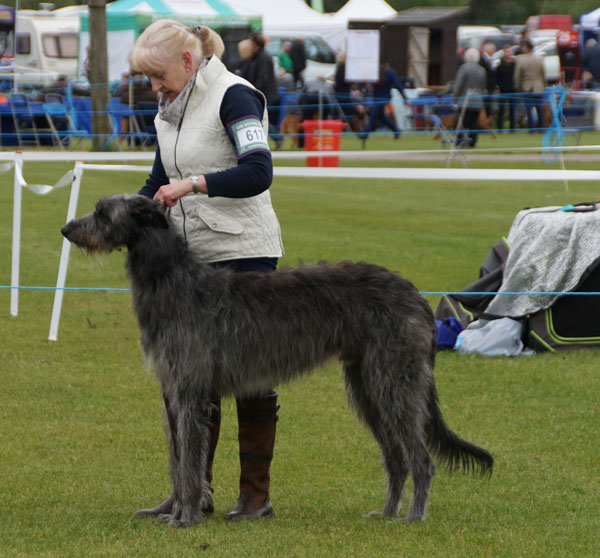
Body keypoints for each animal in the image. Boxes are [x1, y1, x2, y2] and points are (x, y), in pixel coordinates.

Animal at [61, 196, 492, 528]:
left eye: (101, 212)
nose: (66, 229)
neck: (174, 279)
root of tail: (416, 294)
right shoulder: (175, 389)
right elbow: (179, 458)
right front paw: (176, 511)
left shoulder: (190, 391)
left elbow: (189, 463)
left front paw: (185, 519)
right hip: (366, 386)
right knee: (396, 457)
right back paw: (386, 513)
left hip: (396, 382)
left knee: (421, 459)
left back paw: (414, 516)